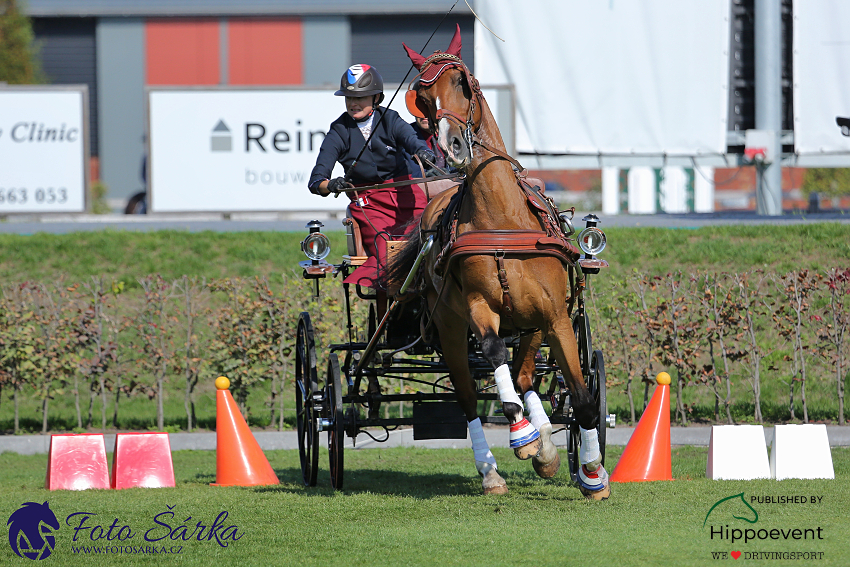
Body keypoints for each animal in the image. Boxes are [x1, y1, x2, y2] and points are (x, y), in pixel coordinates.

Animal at [391, 25, 610, 499]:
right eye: (422, 97)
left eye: (462, 83)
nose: (452, 147)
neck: (503, 222)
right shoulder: (477, 307)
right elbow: (494, 358)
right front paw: (521, 433)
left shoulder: (554, 316)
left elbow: (583, 398)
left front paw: (591, 472)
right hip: (450, 326)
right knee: (470, 396)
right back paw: (494, 466)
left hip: (532, 323)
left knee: (527, 376)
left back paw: (547, 447)